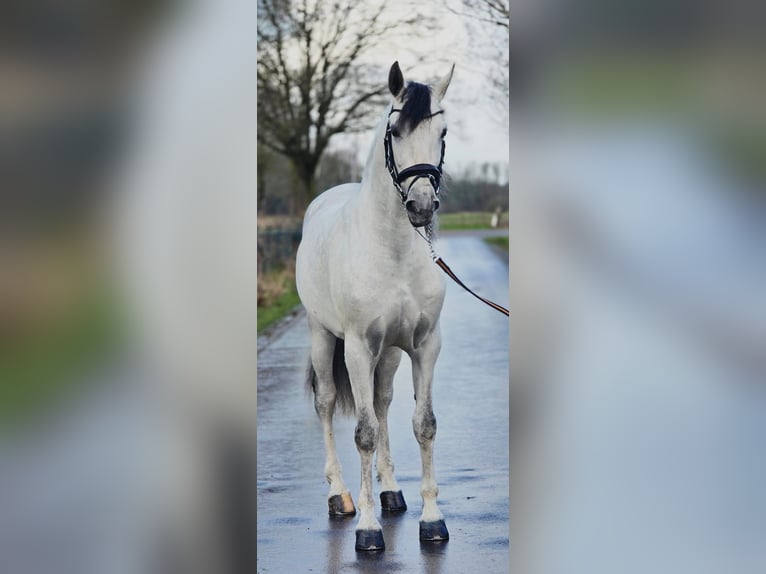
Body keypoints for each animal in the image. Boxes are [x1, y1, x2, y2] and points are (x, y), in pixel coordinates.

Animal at [295, 61, 454, 551]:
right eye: (395, 131)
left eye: (442, 132)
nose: (421, 205)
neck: (395, 250)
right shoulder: (358, 349)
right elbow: (363, 432)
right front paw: (367, 530)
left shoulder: (424, 346)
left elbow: (423, 424)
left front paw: (432, 520)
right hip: (323, 338)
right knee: (327, 403)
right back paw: (340, 496)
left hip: (389, 354)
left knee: (382, 403)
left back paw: (391, 492)